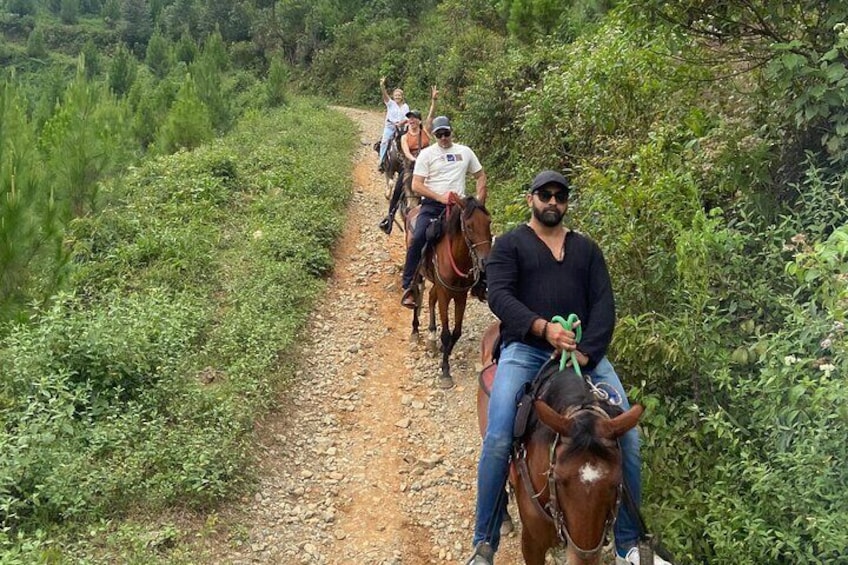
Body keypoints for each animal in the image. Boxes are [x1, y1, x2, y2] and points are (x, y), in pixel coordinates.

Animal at [408, 194, 494, 388]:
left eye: (489, 222)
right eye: (469, 226)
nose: (485, 262)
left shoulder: (460, 295)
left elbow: (456, 332)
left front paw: (443, 351)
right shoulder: (445, 295)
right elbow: (447, 334)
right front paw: (446, 372)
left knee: (430, 298)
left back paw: (432, 337)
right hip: (420, 276)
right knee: (417, 297)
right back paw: (415, 330)